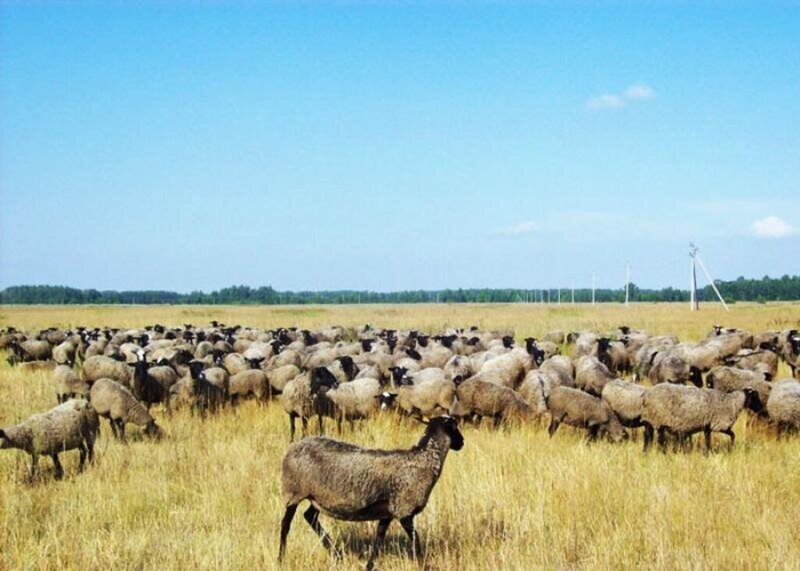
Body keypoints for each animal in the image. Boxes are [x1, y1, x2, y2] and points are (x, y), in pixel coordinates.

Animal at [278, 416, 462, 571]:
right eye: (455, 427)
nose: (462, 442)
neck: (425, 459)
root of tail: (294, 446)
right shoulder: (404, 510)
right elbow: (415, 540)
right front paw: (425, 565)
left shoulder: (388, 513)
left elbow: (378, 540)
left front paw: (369, 566)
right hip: (294, 491)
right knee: (286, 524)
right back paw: (281, 558)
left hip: (318, 497)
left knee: (310, 516)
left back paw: (337, 554)